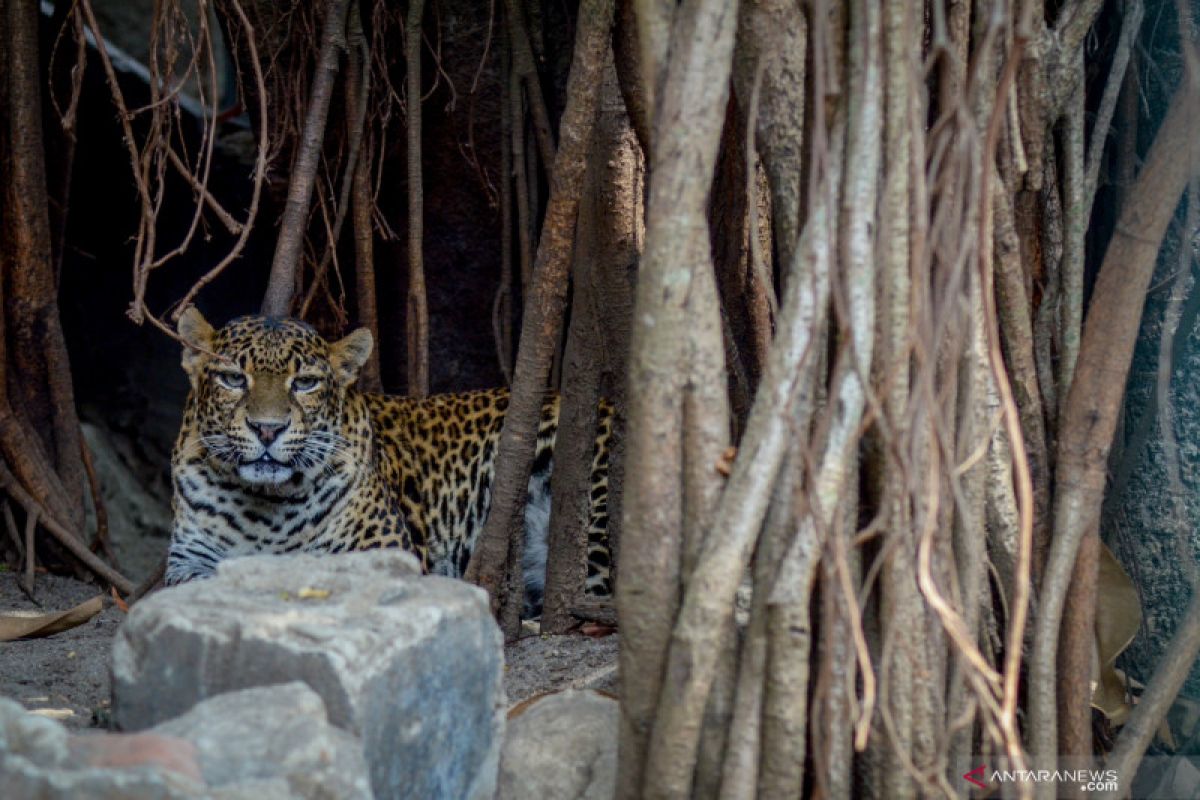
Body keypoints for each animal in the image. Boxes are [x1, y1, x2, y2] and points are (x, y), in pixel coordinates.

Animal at [164, 309, 614, 614]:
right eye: (233, 379)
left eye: (305, 383)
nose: (267, 429)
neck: (266, 506)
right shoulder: (187, 559)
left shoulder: (386, 550)